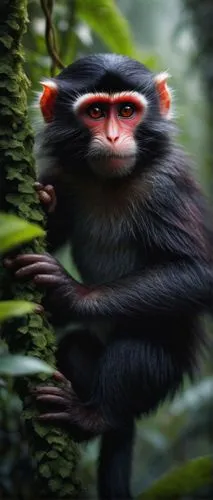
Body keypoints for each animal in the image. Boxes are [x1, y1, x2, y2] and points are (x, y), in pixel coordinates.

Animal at [4, 52, 213, 498]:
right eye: (97, 112)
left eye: (128, 111)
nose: (115, 137)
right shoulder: (64, 173)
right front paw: (45, 203)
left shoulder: (165, 188)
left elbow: (199, 274)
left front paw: (69, 293)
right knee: (77, 348)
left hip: (163, 374)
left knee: (138, 351)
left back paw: (95, 417)